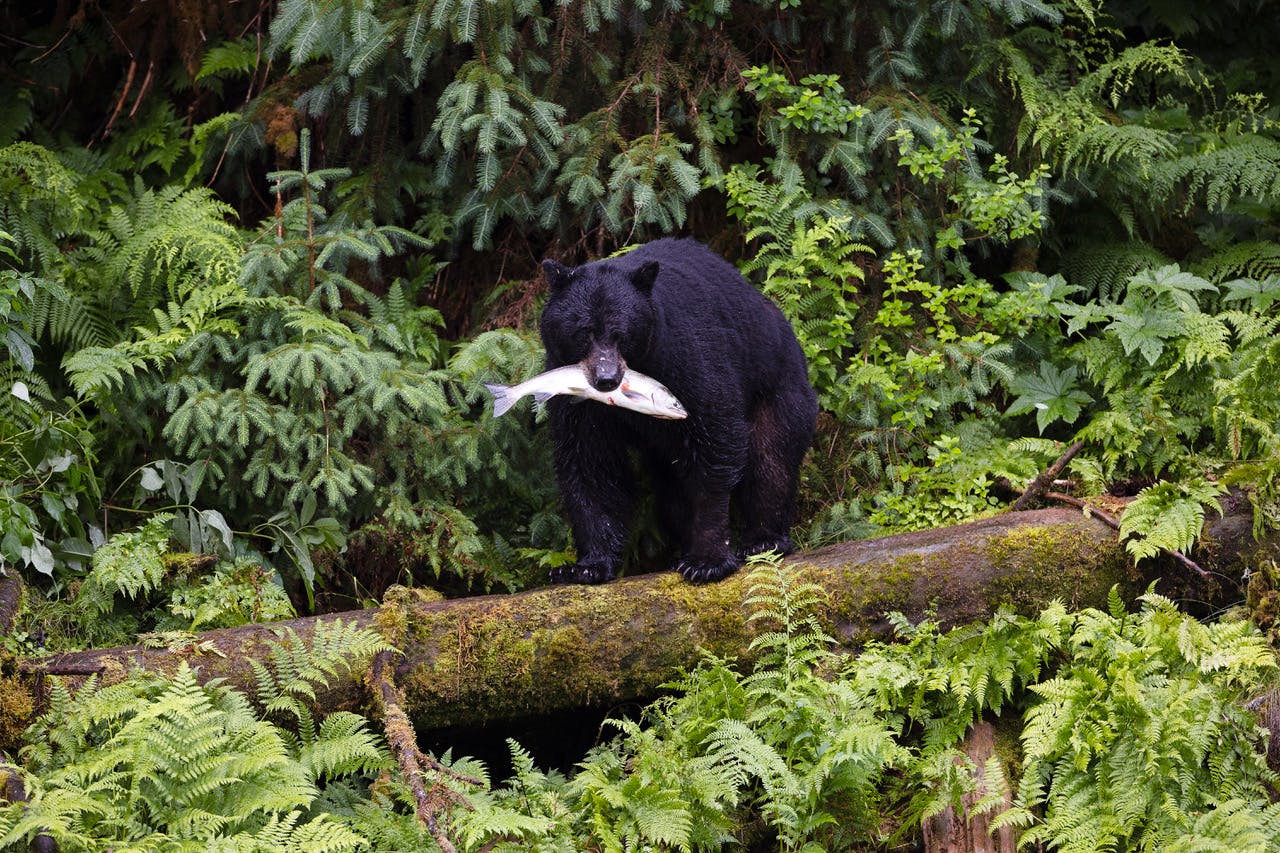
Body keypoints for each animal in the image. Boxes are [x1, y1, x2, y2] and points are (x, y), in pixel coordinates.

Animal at [540, 239, 819, 584]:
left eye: (621, 334)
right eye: (584, 332)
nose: (606, 379)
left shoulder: (686, 361)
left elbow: (715, 443)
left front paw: (706, 561)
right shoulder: (576, 399)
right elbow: (591, 462)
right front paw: (586, 566)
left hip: (775, 384)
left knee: (771, 458)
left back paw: (763, 541)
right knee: (671, 493)